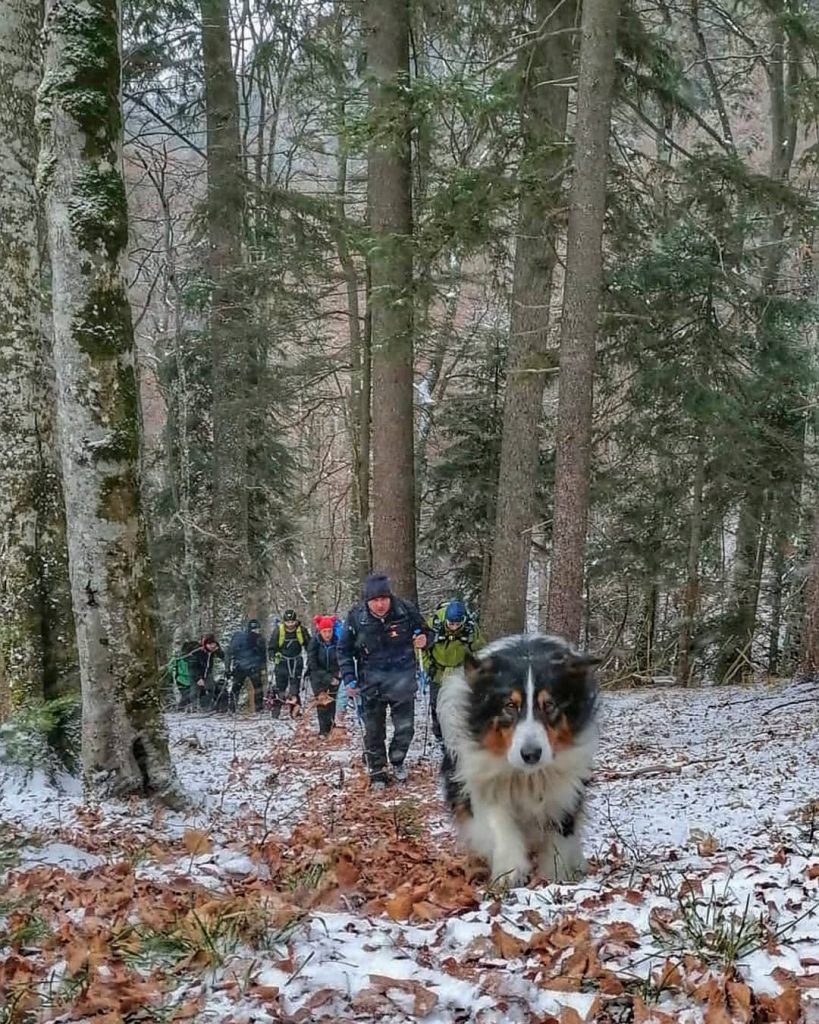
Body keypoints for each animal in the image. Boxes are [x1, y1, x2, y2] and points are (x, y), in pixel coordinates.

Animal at [437, 633, 599, 887]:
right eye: (510, 705)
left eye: (549, 705)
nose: (531, 754)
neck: (527, 776)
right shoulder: (482, 776)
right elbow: (497, 822)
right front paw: (510, 871)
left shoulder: (566, 785)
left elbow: (560, 832)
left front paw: (556, 875)